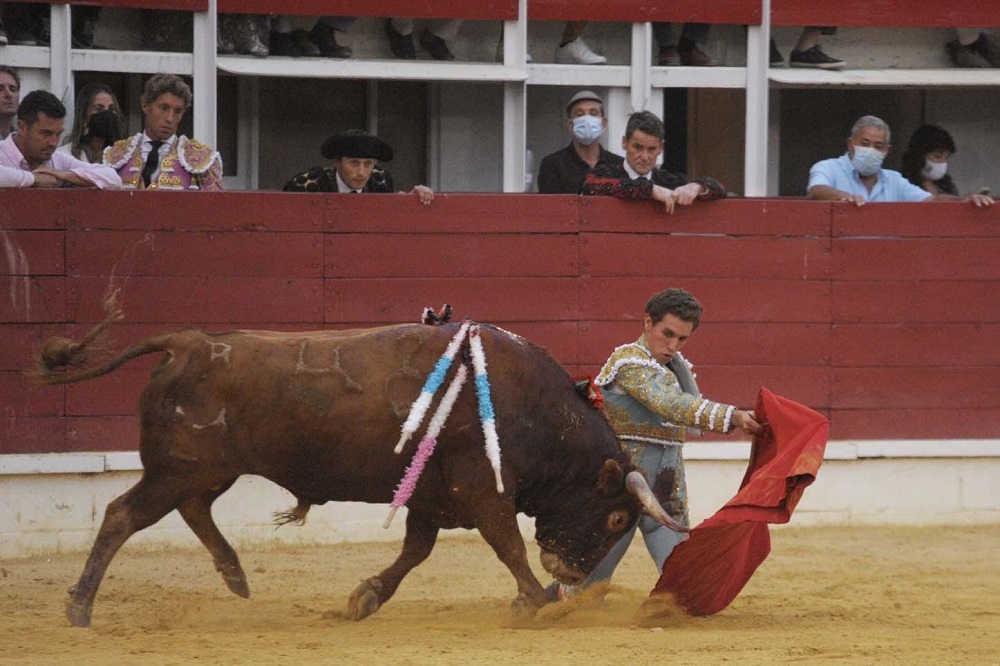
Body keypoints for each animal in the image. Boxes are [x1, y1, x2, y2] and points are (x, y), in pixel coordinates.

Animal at [35, 316, 684, 624]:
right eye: (617, 518)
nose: (570, 572)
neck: (534, 407)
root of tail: (187, 342)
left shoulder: (431, 496)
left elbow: (415, 551)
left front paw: (366, 595)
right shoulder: (481, 490)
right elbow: (506, 544)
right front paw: (531, 601)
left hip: (204, 470)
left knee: (193, 510)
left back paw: (235, 575)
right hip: (177, 468)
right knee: (123, 515)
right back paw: (80, 606)